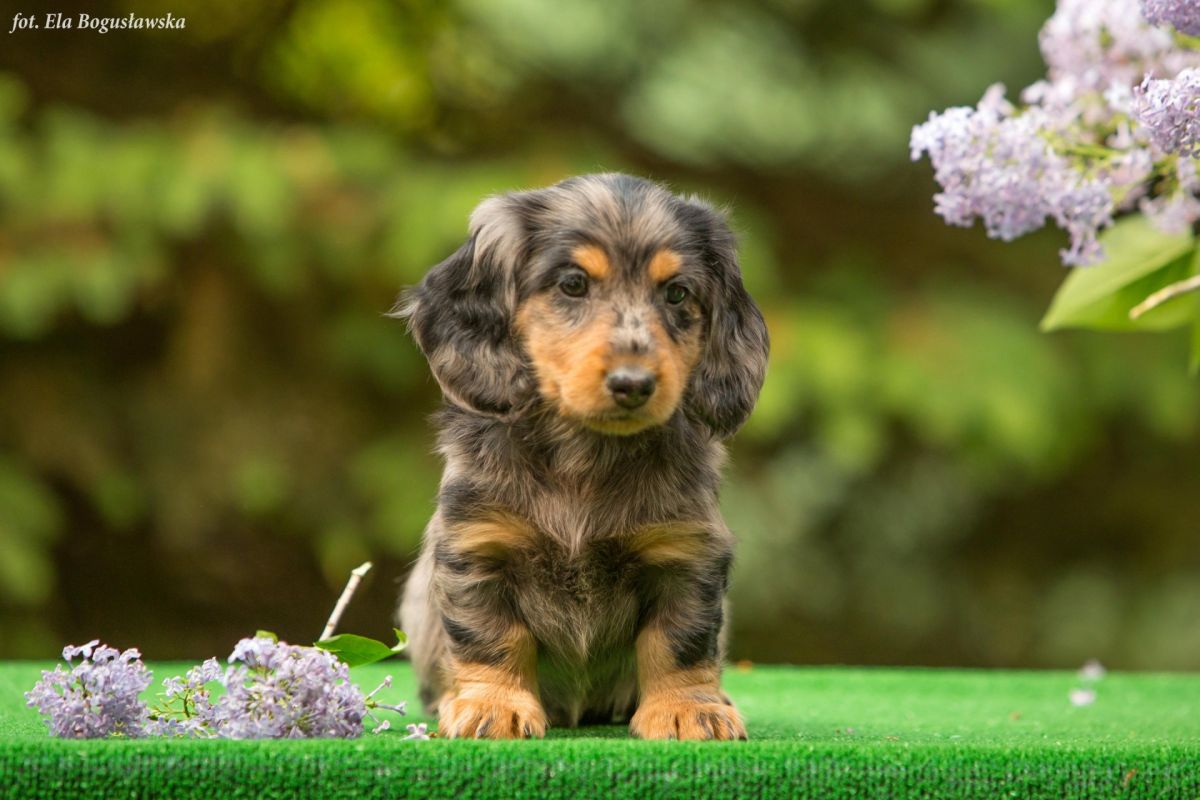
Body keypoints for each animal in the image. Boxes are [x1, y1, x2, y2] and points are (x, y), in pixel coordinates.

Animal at [396, 173, 769, 740]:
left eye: (677, 293)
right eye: (573, 284)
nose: (634, 384)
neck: (583, 456)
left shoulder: (687, 553)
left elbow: (679, 640)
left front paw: (687, 708)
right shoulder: (477, 546)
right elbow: (492, 635)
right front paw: (493, 705)